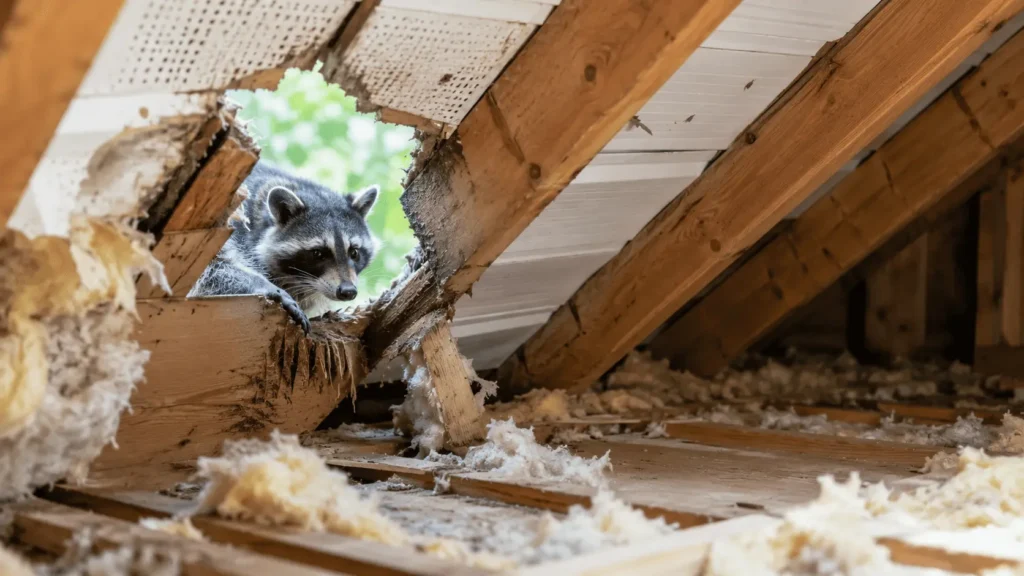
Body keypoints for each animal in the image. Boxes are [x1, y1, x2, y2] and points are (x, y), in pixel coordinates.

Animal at [190, 160, 379, 333]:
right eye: (318, 253)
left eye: (354, 252)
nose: (348, 291)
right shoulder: (229, 224)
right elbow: (211, 268)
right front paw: (267, 286)